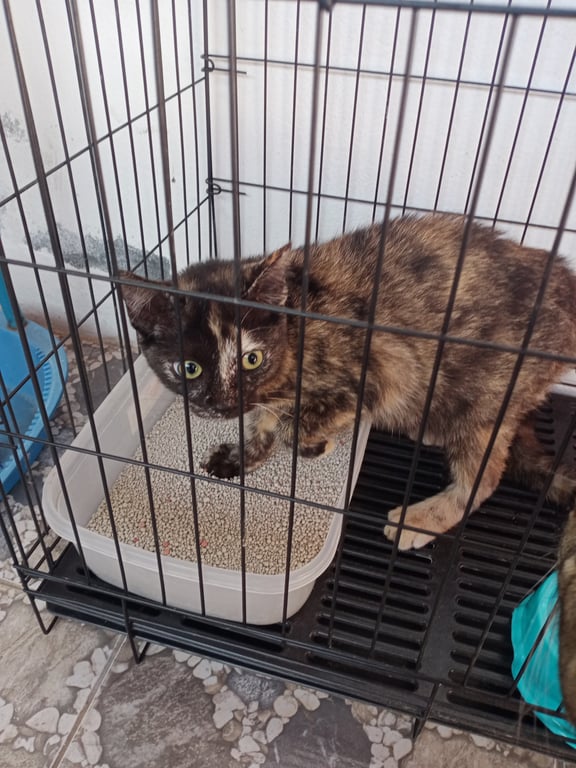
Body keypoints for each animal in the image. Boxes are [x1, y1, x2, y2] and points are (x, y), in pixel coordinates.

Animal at [120, 213, 576, 552]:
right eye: (189, 368)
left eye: (252, 359)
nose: (220, 403)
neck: (294, 325)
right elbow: (267, 422)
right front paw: (242, 455)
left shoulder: (384, 373)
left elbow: (294, 425)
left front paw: (313, 444)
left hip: (483, 392)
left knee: (486, 476)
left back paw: (422, 518)